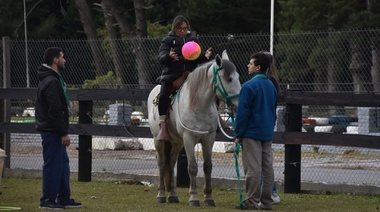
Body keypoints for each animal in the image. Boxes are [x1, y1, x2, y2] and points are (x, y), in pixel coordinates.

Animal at [148, 51, 240, 207]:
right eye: (229, 78)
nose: (238, 105)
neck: (198, 104)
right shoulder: (188, 139)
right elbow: (192, 167)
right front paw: (194, 198)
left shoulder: (209, 139)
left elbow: (208, 167)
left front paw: (208, 198)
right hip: (158, 140)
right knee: (161, 163)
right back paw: (161, 195)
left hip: (177, 142)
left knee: (171, 162)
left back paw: (173, 195)